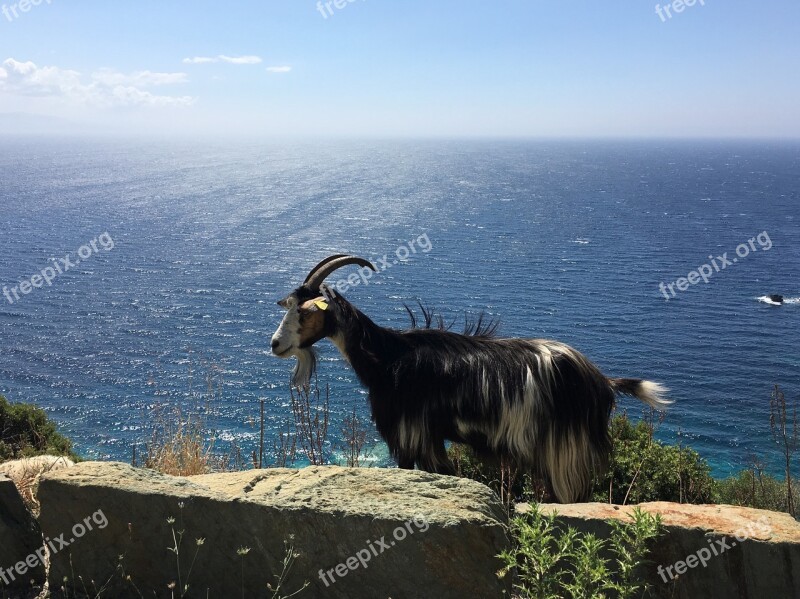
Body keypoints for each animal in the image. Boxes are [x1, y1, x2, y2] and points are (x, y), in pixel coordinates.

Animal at [272, 255, 672, 504]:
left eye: (306, 312)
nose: (276, 344)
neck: (389, 358)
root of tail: (600, 380)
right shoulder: (430, 437)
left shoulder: (410, 433)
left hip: (563, 450)